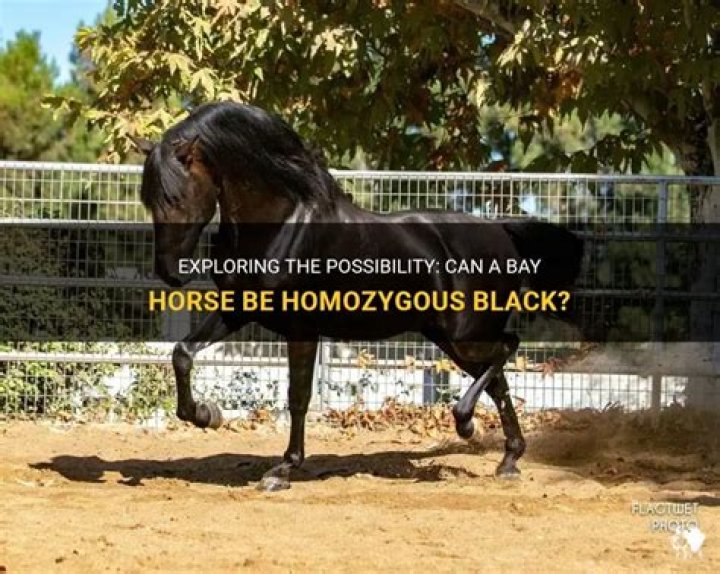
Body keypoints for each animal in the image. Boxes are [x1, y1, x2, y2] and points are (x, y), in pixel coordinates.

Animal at [132, 101, 583, 491]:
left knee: (506, 350)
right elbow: (182, 354)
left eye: (177, 197)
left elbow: (298, 397)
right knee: (498, 377)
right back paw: (507, 460)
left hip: (466, 332)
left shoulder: (302, 327)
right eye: (149, 200)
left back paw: (467, 424)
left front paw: (282, 470)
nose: (170, 273)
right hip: (448, 337)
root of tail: (502, 232)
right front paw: (207, 415)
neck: (282, 225)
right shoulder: (238, 311)